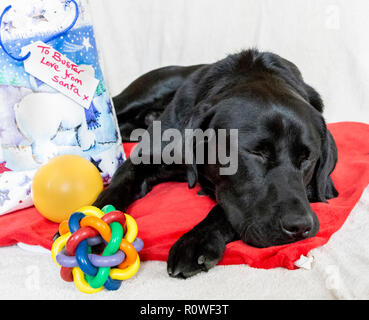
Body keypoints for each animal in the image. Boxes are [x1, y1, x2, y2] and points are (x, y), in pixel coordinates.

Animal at [93, 48, 338, 278]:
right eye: (257, 152)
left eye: (307, 158)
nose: (299, 227)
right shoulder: (145, 156)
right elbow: (119, 184)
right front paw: (99, 224)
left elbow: (223, 209)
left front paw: (197, 240)